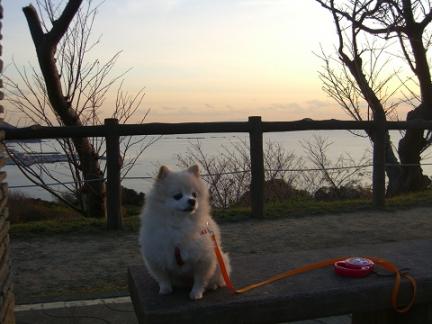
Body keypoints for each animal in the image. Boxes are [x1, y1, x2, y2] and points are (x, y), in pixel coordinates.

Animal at [140, 166, 231, 300]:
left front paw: (196, 293)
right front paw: (165, 290)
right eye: (178, 196)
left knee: (216, 279)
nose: (192, 201)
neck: (180, 223)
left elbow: (199, 280)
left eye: (194, 194)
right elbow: (163, 277)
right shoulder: (157, 256)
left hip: (220, 261)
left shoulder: (203, 259)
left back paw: (213, 286)